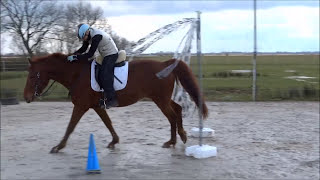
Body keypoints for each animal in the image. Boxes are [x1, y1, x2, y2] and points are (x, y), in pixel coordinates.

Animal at [22, 52, 208, 153]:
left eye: (31, 76)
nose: (26, 97)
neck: (76, 74)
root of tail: (165, 64)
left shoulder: (81, 106)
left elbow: (70, 126)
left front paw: (59, 146)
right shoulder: (96, 106)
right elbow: (108, 122)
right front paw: (114, 141)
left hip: (160, 100)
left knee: (172, 116)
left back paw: (175, 139)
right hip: (163, 99)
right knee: (177, 109)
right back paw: (178, 137)